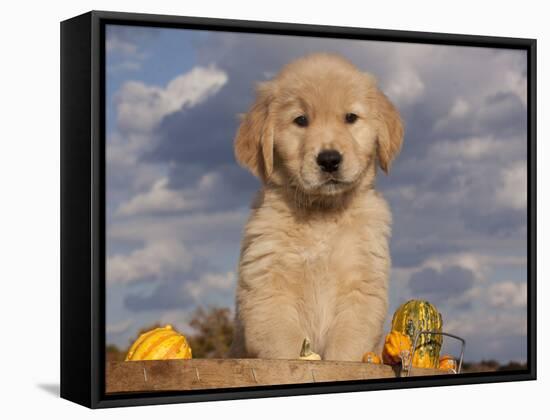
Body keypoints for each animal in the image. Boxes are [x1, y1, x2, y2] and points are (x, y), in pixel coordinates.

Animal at [229, 52, 406, 360]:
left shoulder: (362, 292)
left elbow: (345, 352)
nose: (329, 160)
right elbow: (288, 352)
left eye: (350, 118)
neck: (322, 214)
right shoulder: (267, 294)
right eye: (301, 120)